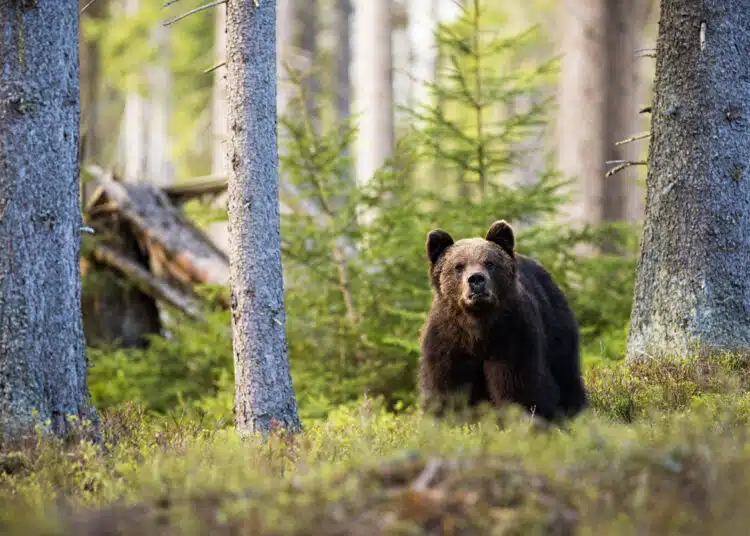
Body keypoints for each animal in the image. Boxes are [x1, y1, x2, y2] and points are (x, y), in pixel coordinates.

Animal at [417, 219, 588, 423]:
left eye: (489, 263)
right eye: (458, 266)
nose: (476, 279)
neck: (478, 326)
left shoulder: (510, 336)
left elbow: (518, 384)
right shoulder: (448, 340)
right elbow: (446, 386)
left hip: (556, 326)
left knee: (566, 372)